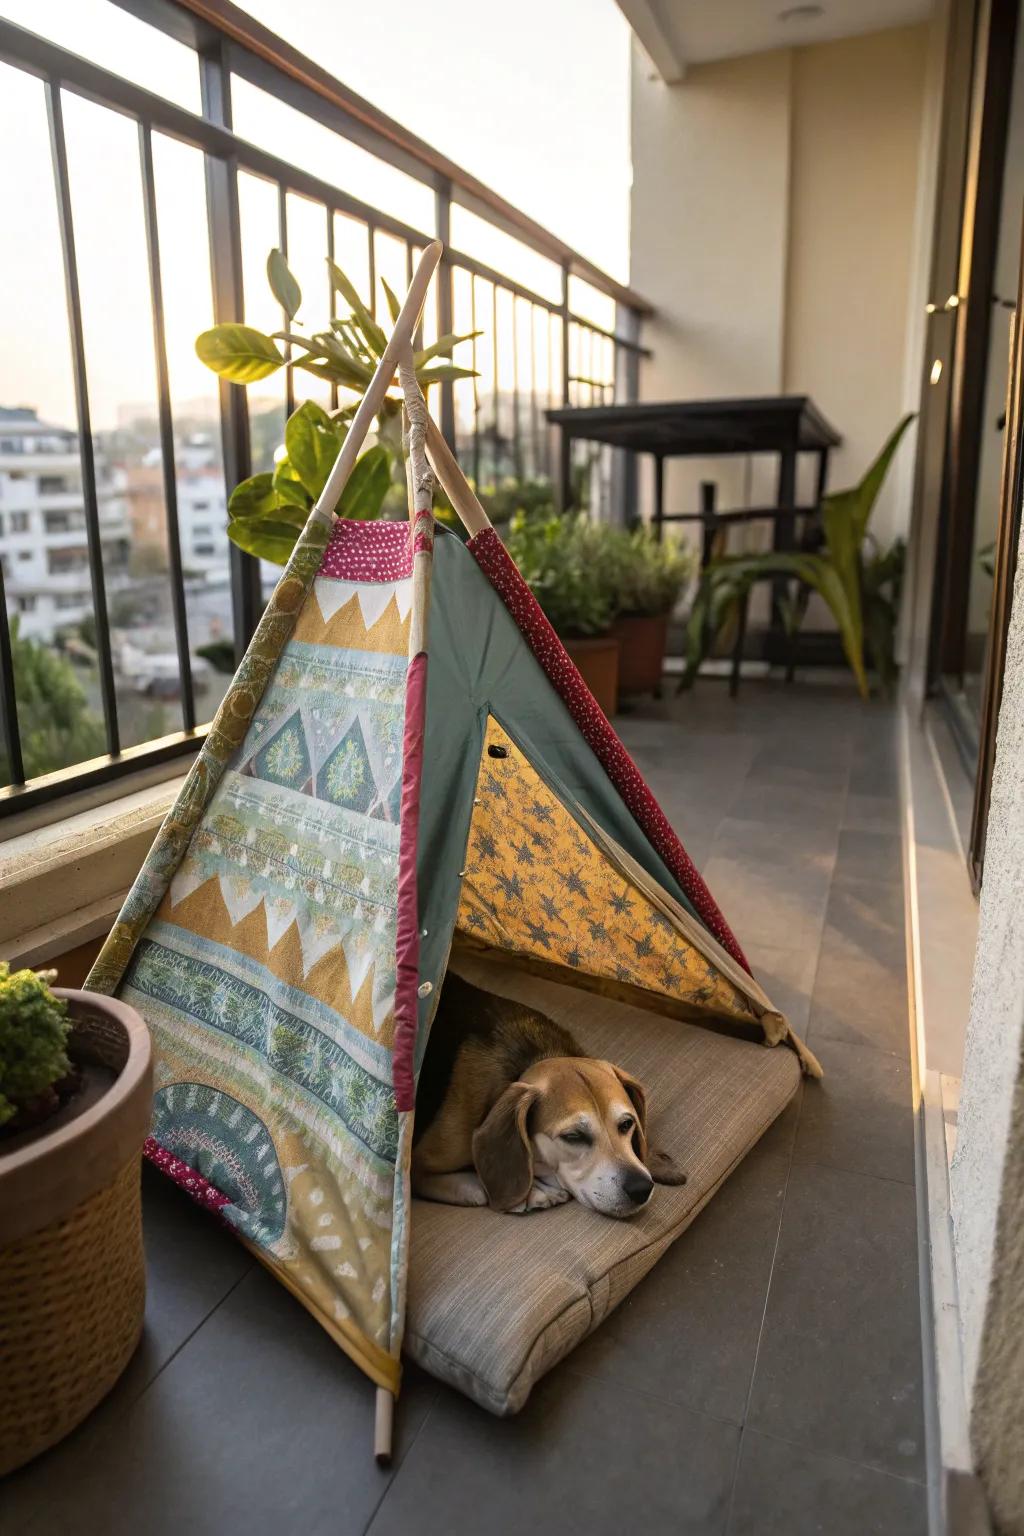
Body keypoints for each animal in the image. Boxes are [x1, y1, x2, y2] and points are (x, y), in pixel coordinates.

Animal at [411, 976, 687, 1216]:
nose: (641, 1188)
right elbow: (477, 1189)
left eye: (627, 1124)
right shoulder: (416, 1164)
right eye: (573, 1136)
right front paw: (531, 1193)